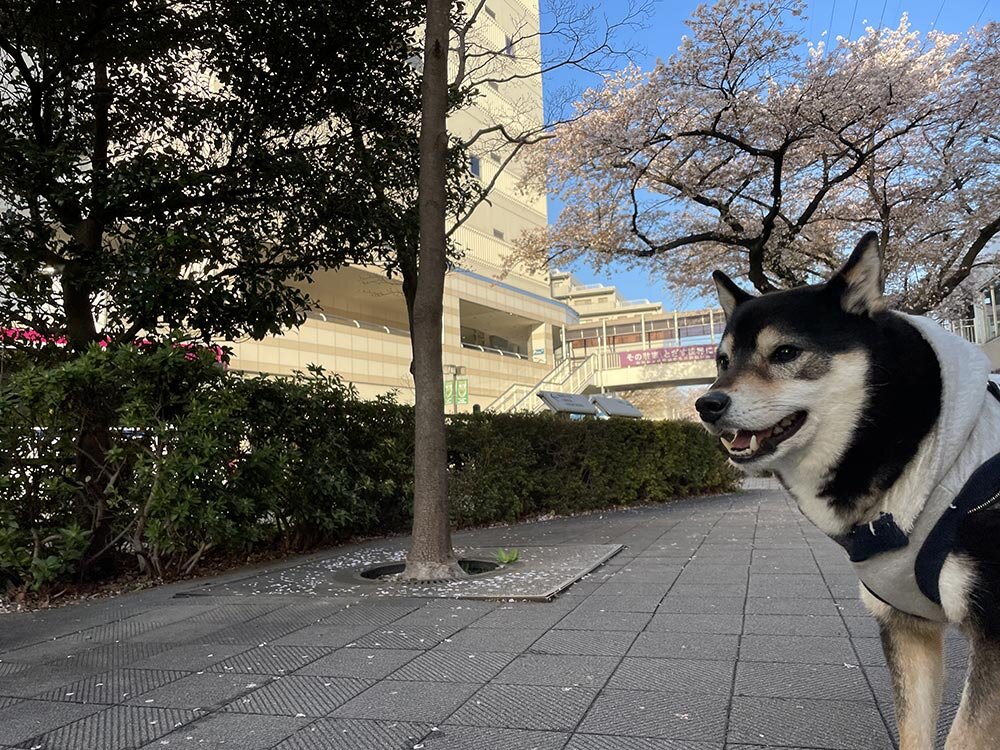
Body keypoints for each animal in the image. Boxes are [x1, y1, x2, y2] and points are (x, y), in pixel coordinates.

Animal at [700, 232, 1000, 748]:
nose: (707, 403)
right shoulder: (907, 625)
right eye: (722, 361)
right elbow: (914, 731)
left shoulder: (994, 632)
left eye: (785, 353)